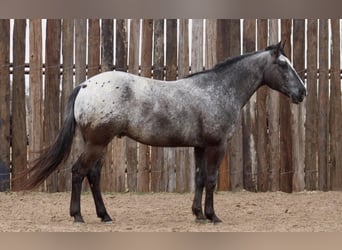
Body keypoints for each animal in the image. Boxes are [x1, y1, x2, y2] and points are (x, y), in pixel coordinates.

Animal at [20, 40, 306, 223]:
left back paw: (105, 215)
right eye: (283, 65)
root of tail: (85, 85)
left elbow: (200, 178)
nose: (302, 92)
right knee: (79, 172)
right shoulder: (217, 145)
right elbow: (211, 180)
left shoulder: (200, 146)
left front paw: (198, 214)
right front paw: (212, 216)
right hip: (97, 143)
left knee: (93, 175)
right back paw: (78, 216)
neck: (218, 89)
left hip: (98, 144)